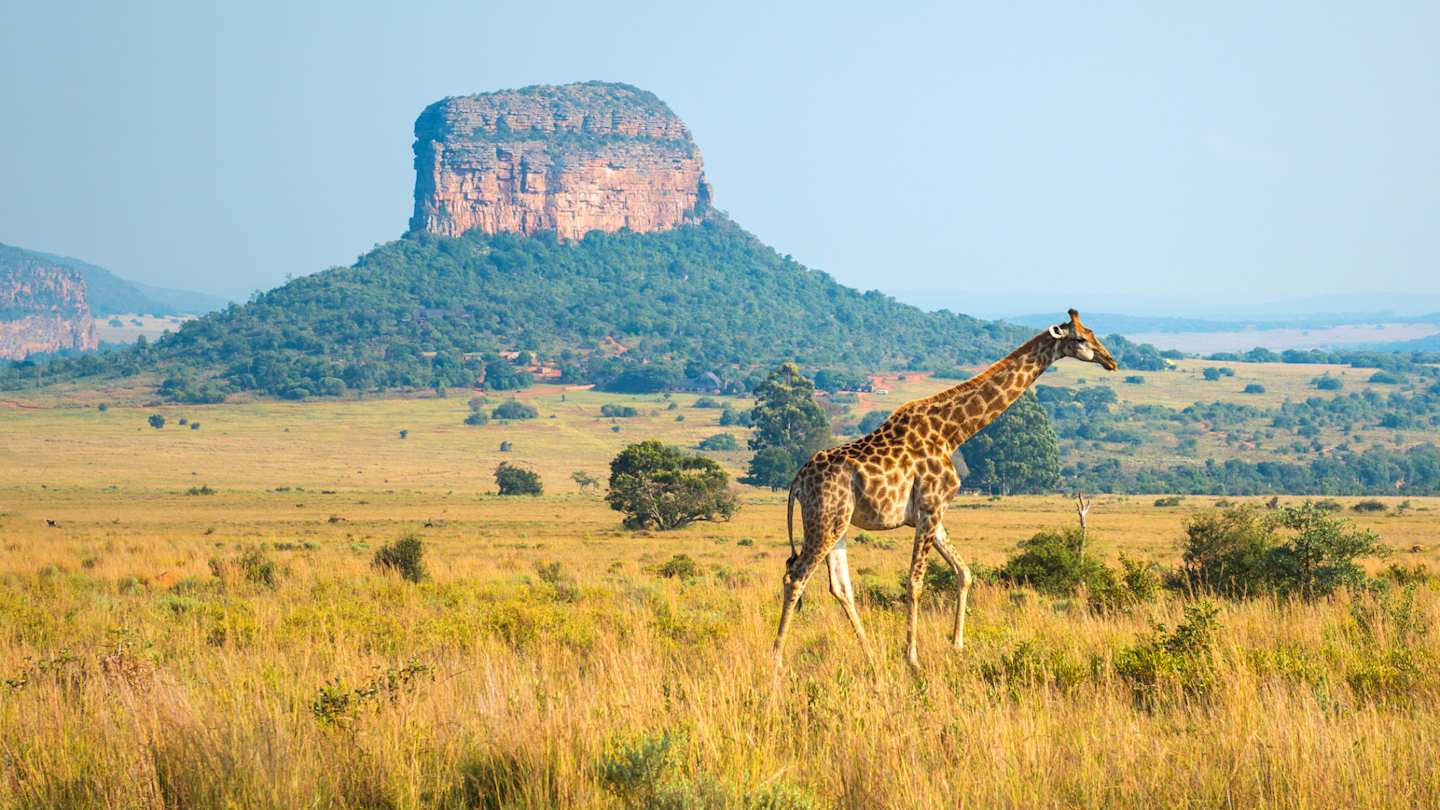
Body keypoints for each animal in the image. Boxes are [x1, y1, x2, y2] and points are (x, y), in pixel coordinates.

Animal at [773, 309, 1117, 669]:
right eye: (1080, 338)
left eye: (1092, 332)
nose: (1110, 360)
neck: (953, 433)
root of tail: (798, 481)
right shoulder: (930, 509)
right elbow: (915, 582)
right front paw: (912, 657)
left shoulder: (933, 515)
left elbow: (964, 572)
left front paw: (957, 645)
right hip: (825, 520)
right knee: (796, 577)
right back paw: (777, 658)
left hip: (838, 523)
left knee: (840, 587)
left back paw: (870, 655)